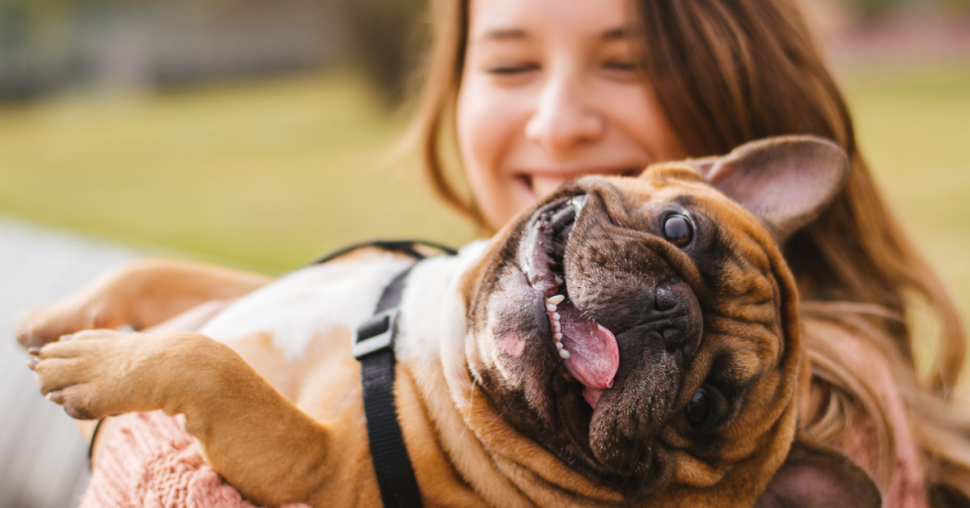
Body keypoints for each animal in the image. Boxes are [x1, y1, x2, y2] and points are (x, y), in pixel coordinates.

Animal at [22, 135, 876, 508]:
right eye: (680, 230)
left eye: (702, 407)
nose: (670, 316)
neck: (436, 338)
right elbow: (156, 273)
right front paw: (53, 319)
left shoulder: (315, 469)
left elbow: (213, 364)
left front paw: (96, 365)